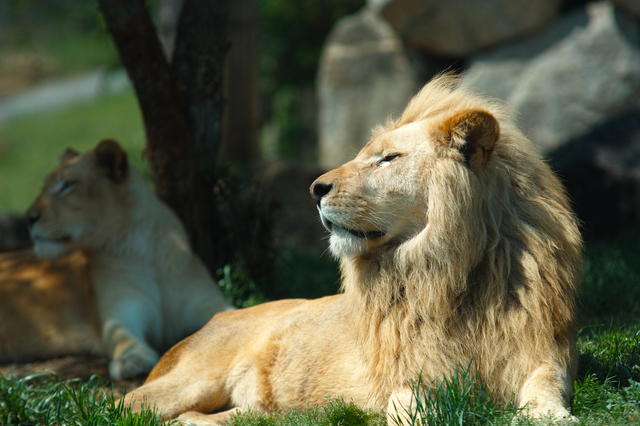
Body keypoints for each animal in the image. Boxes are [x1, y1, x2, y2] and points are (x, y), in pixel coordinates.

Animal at [0, 141, 234, 380]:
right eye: (43, 189)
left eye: (68, 185)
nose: (28, 218)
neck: (141, 248)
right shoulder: (118, 313)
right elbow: (122, 336)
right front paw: (132, 360)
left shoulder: (208, 301)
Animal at [122, 75, 584, 424]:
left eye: (388, 159)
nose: (315, 189)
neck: (450, 270)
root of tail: (215, 317)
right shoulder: (411, 373)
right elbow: (409, 408)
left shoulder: (543, 352)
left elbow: (546, 385)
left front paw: (551, 417)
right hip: (193, 380)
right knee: (124, 405)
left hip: (257, 411)